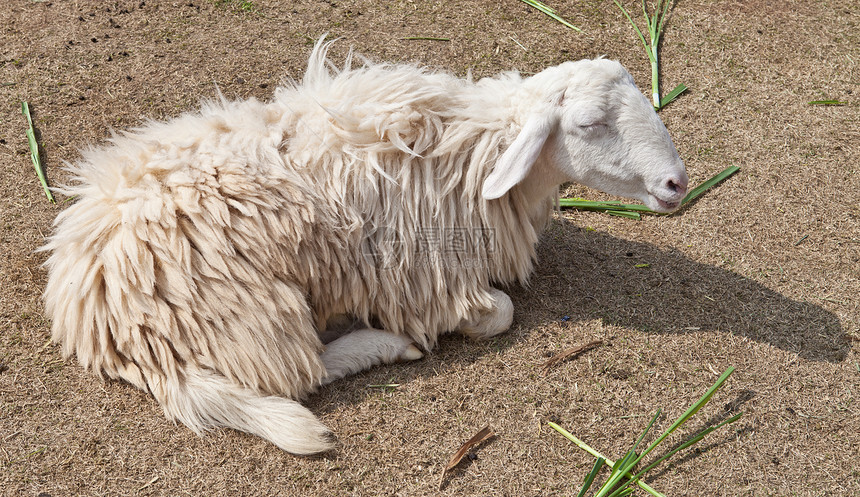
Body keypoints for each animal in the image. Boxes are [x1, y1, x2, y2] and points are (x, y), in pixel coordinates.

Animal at [40, 39, 688, 454]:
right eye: (589, 124)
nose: (678, 184)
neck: (474, 153)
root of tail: (101, 323)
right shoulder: (423, 277)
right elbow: (498, 313)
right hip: (252, 309)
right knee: (297, 376)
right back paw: (379, 344)